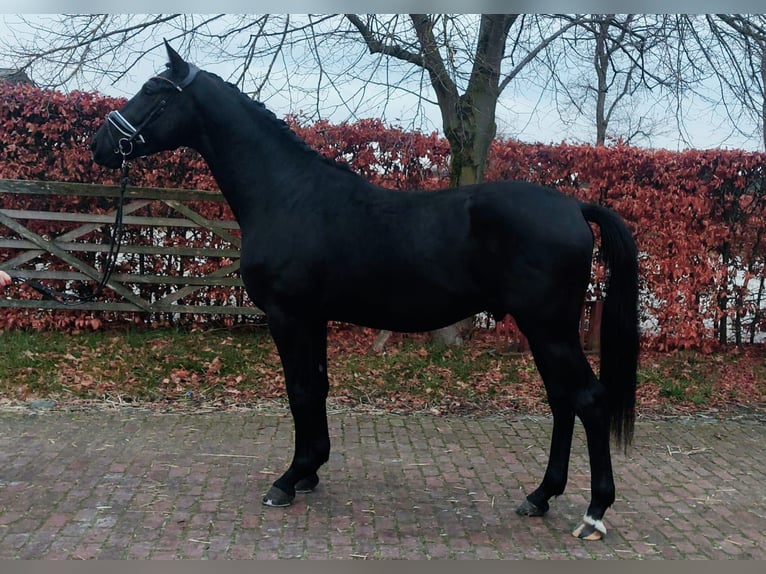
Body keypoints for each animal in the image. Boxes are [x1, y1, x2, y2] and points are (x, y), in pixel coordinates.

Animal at [90, 42, 639, 541]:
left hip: (549, 329)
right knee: (563, 401)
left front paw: (287, 481)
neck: (289, 195)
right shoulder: (312, 317)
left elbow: (299, 390)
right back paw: (540, 496)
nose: (99, 143)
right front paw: (310, 471)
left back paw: (594, 513)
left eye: (153, 91)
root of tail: (574, 207)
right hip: (544, 331)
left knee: (588, 400)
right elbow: (316, 388)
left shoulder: (287, 315)